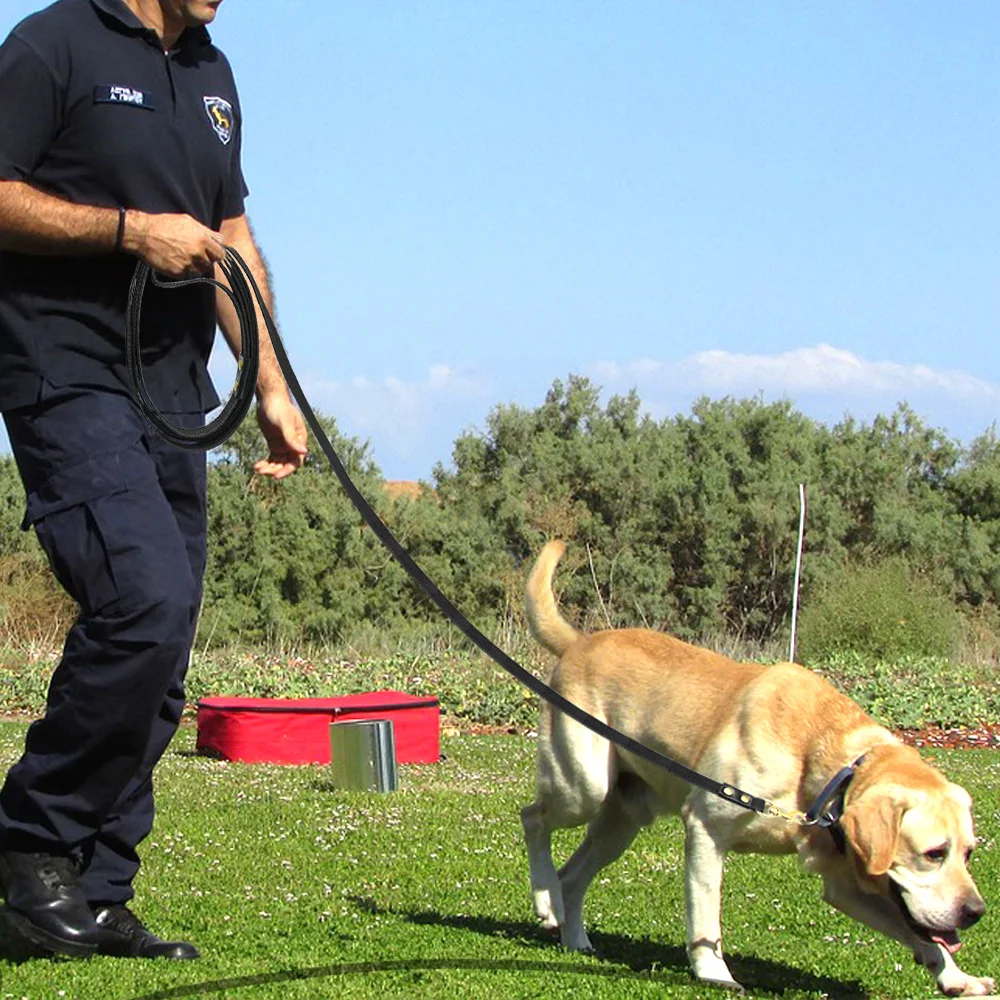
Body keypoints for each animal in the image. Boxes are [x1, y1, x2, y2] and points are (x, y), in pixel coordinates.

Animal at [524, 544, 992, 996]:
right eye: (934, 853)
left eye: (969, 852)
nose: (976, 912)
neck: (821, 766)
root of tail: (579, 642)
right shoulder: (706, 829)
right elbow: (706, 917)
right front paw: (713, 972)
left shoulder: (845, 883)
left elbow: (922, 936)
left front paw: (957, 977)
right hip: (584, 786)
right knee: (534, 818)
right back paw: (546, 900)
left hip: (623, 818)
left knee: (572, 876)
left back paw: (571, 933)